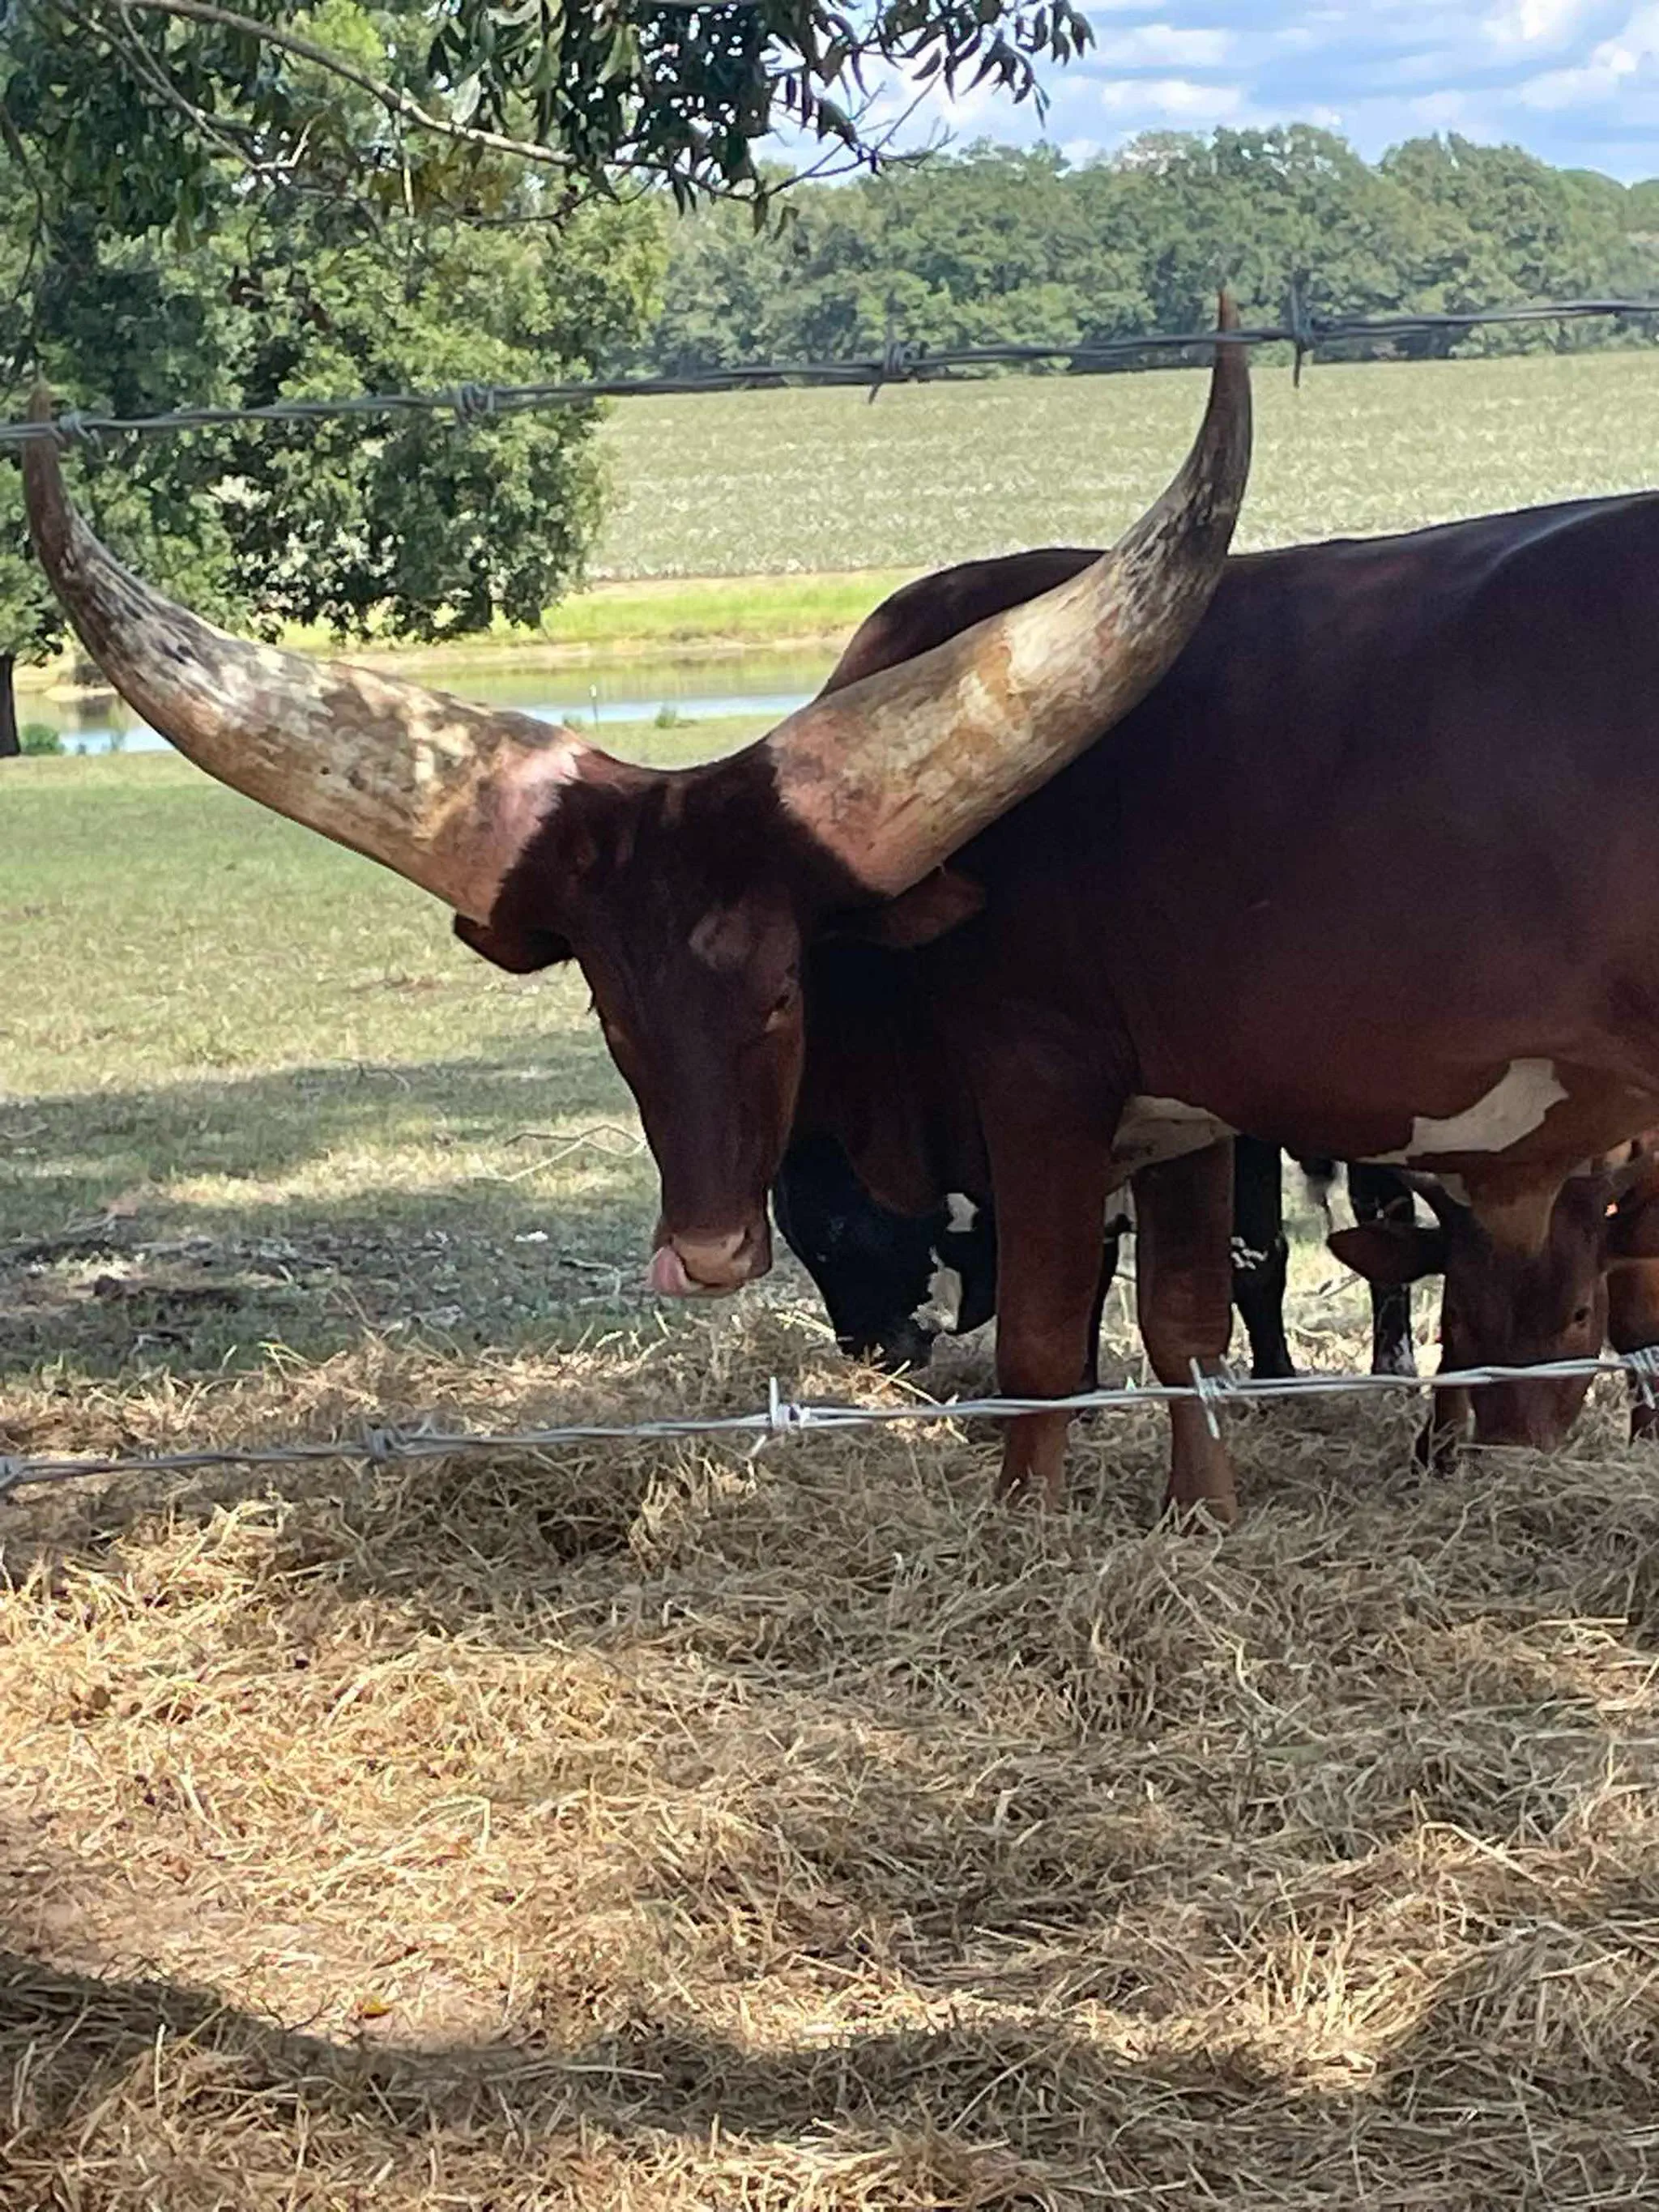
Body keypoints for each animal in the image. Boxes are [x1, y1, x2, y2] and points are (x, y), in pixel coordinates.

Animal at [28, 310, 1659, 1526]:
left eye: (775, 990)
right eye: (610, 1009)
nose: (704, 1255)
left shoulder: (1046, 1083)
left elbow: (1049, 1337)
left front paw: (1026, 1522)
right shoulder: (1187, 1116)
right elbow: (1187, 1328)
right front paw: (1201, 1520)